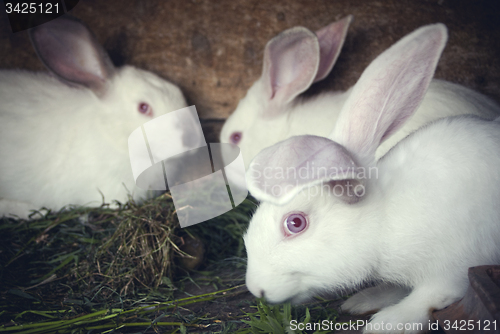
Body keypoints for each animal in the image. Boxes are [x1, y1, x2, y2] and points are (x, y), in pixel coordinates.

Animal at [244, 22, 500, 332]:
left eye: (295, 223)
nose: (255, 288)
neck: (382, 218)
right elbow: (396, 287)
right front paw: (365, 300)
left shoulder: (453, 268)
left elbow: (430, 298)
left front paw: (387, 322)